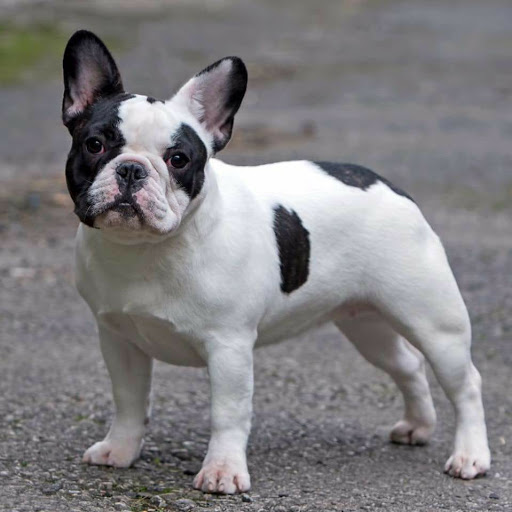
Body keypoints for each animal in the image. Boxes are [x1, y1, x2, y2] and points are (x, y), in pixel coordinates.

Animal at [62, 31, 490, 492]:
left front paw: (223, 470)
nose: (131, 170)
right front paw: (120, 450)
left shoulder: (229, 346)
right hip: (366, 324)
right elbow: (128, 401)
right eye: (94, 145)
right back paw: (418, 426)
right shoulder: (119, 339)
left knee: (465, 383)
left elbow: (228, 413)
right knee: (407, 365)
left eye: (178, 159)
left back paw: (470, 456)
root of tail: (390, 187)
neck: (145, 249)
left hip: (433, 321)